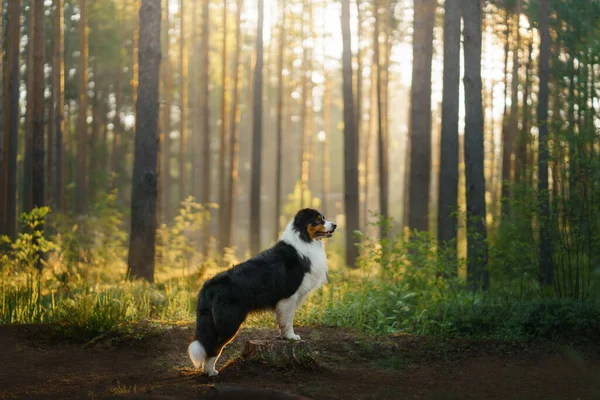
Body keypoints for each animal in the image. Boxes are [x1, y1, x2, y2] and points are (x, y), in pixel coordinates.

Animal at [186, 208, 336, 376]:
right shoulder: (289, 297)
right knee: (215, 347)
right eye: (317, 220)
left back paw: (206, 371)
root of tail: (210, 284)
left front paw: (284, 336)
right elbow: (288, 321)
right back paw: (212, 372)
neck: (305, 240)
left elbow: (282, 321)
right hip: (230, 320)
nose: (335, 225)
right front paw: (291, 337)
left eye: (323, 218)